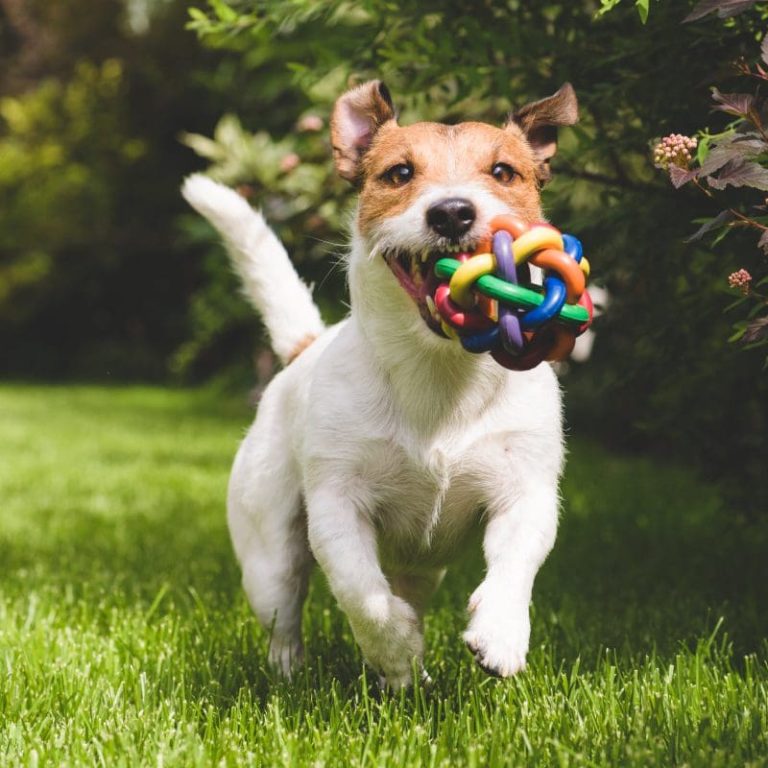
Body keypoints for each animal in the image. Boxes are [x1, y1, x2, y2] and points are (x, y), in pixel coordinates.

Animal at [183, 79, 580, 688]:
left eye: (503, 171)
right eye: (399, 173)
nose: (452, 212)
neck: (438, 371)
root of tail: (305, 347)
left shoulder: (526, 490)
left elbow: (516, 562)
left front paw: (501, 633)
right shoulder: (336, 505)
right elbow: (360, 593)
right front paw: (394, 648)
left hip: (423, 566)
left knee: (409, 590)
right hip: (269, 551)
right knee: (285, 610)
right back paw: (301, 668)